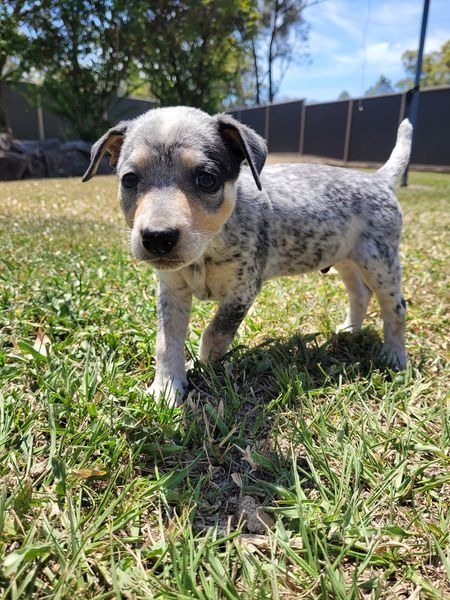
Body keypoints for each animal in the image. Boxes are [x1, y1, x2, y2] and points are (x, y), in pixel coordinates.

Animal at [83, 106, 412, 405]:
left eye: (206, 179)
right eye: (129, 180)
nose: (157, 237)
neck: (209, 248)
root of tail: (379, 179)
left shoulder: (242, 291)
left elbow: (214, 333)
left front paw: (203, 364)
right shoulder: (171, 291)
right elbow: (167, 341)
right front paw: (167, 388)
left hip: (380, 263)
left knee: (395, 309)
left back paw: (394, 357)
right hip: (346, 259)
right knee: (360, 294)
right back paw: (349, 330)